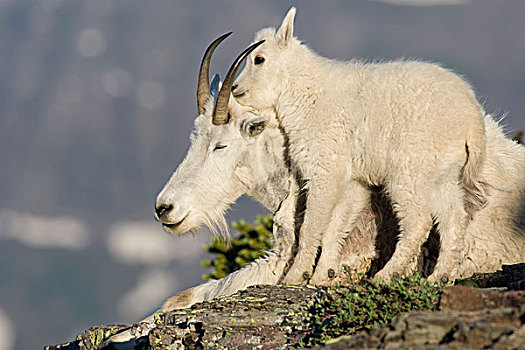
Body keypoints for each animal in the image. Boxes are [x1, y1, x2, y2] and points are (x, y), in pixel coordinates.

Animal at [232, 6, 488, 284]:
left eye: (259, 59)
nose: (235, 88)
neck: (305, 94)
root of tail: (472, 120)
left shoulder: (324, 167)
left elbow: (311, 226)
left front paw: (295, 276)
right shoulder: (354, 180)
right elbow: (335, 225)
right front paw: (321, 277)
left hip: (409, 168)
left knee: (418, 221)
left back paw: (385, 275)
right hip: (443, 174)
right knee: (453, 220)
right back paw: (438, 278)